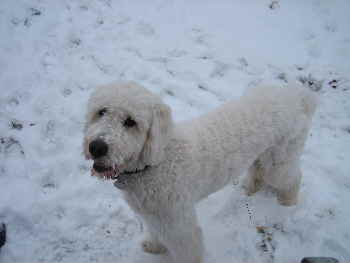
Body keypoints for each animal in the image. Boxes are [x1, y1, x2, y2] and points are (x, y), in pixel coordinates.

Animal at [84, 81, 318, 262]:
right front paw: (154, 246)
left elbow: (188, 248)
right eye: (101, 111)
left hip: (279, 161)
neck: (155, 161)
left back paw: (287, 202)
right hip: (263, 155)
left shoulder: (179, 224)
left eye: (130, 122)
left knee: (293, 178)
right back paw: (250, 188)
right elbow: (156, 233)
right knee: (258, 172)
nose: (96, 147)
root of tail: (298, 97)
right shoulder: (155, 216)